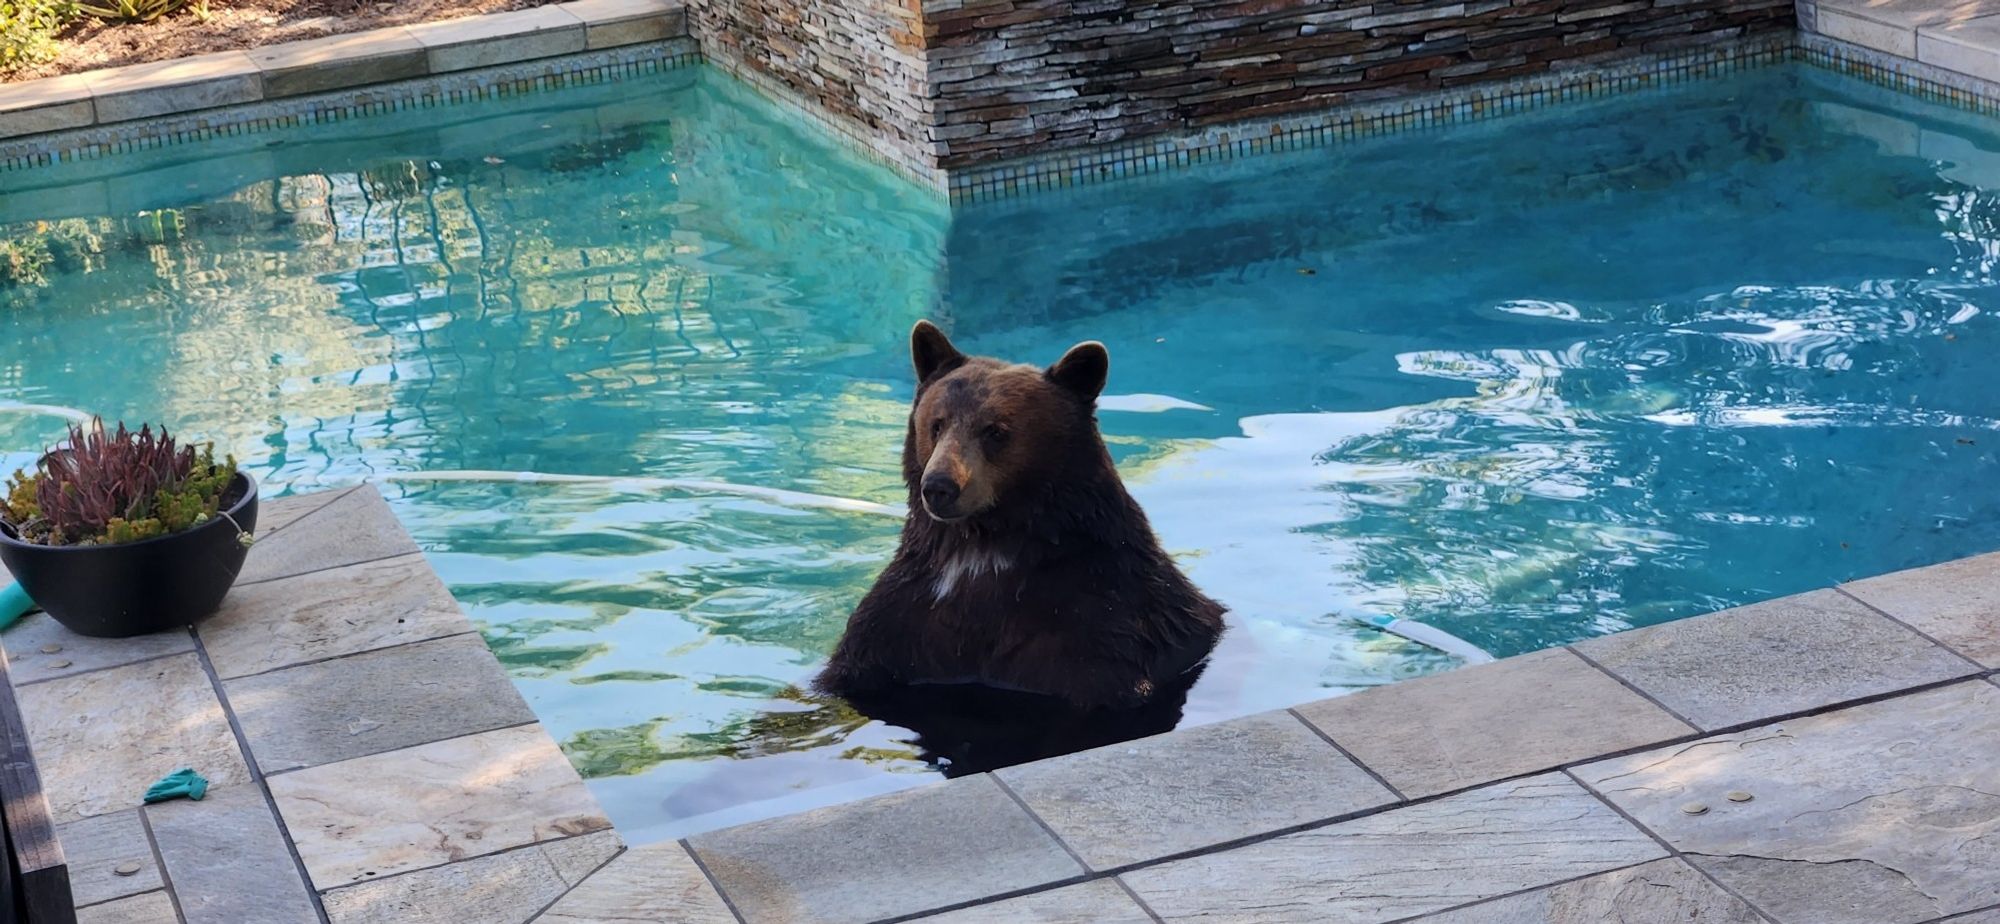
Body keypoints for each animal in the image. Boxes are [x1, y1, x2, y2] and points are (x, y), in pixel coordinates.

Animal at [808, 318, 1216, 708]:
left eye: (995, 430)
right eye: (936, 423)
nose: (939, 486)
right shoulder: (903, 619)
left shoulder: (1105, 620)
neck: (987, 545)